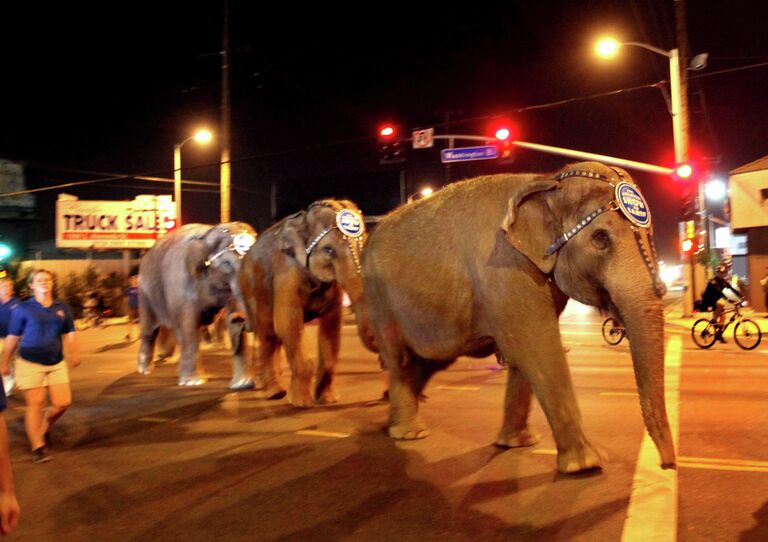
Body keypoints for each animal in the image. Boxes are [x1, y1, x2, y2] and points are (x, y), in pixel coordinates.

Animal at [136, 223, 256, 388]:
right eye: (226, 264)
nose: (238, 318)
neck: (208, 234)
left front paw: (243, 384)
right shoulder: (182, 284)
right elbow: (189, 325)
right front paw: (193, 383)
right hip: (145, 293)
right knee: (150, 331)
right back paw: (145, 371)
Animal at [238, 200, 368, 408]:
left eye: (364, 243)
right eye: (329, 250)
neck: (305, 220)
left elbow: (332, 326)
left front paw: (328, 400)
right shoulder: (286, 269)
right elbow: (288, 323)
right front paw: (301, 403)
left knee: (274, 337)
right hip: (251, 289)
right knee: (268, 332)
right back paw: (274, 393)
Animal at [360, 163, 672, 476]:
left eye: (650, 236)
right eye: (600, 239)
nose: (667, 465)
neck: (547, 182)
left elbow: (523, 356)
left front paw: (517, 443)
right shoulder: (505, 268)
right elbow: (535, 346)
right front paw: (585, 465)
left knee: (427, 362)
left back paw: (391, 423)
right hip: (380, 301)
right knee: (400, 358)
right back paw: (408, 433)